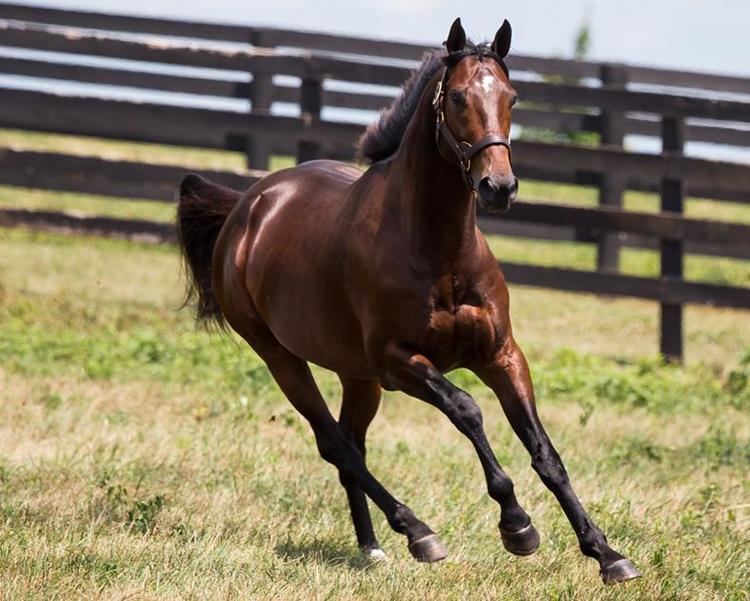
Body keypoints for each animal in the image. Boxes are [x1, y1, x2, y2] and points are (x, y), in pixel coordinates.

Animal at [176, 17, 640, 580]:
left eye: (512, 97)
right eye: (458, 97)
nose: (499, 187)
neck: (440, 253)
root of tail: (247, 206)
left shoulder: (502, 354)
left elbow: (545, 452)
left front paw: (608, 554)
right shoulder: (400, 362)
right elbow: (467, 411)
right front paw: (517, 526)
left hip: (356, 373)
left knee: (352, 442)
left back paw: (372, 546)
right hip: (282, 358)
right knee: (336, 445)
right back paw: (419, 533)